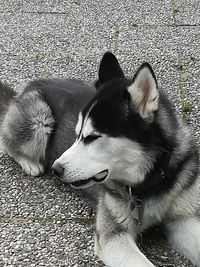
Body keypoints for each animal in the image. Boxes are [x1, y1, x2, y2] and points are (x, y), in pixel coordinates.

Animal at [0, 52, 200, 267]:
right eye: (77, 134)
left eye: (92, 137)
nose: (56, 169)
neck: (149, 182)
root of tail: (27, 87)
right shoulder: (112, 236)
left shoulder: (183, 218)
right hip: (39, 119)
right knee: (8, 143)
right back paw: (30, 163)